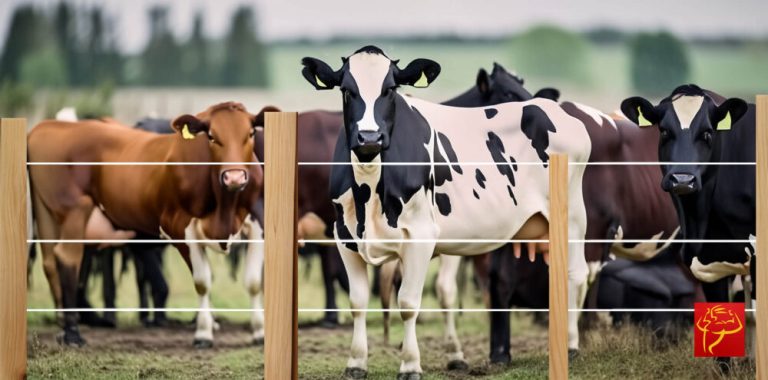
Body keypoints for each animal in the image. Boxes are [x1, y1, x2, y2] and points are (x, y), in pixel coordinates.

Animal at [28, 101, 274, 348]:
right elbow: (202, 282)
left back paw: (64, 326)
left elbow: (253, 282)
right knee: (67, 257)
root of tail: (46, 127)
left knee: (50, 261)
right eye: (212, 136)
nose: (234, 178)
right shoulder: (181, 229)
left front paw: (259, 333)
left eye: (250, 133)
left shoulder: (258, 227)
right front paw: (203, 334)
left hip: (47, 212)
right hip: (75, 211)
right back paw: (73, 333)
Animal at [304, 46, 592, 378]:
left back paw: (571, 346)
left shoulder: (423, 236)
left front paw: (412, 363)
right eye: (346, 90)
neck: (370, 189)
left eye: (390, 89)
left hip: (573, 217)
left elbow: (412, 301)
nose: (369, 138)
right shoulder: (344, 236)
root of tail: (554, 109)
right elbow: (358, 301)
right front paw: (356, 362)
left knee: (575, 273)